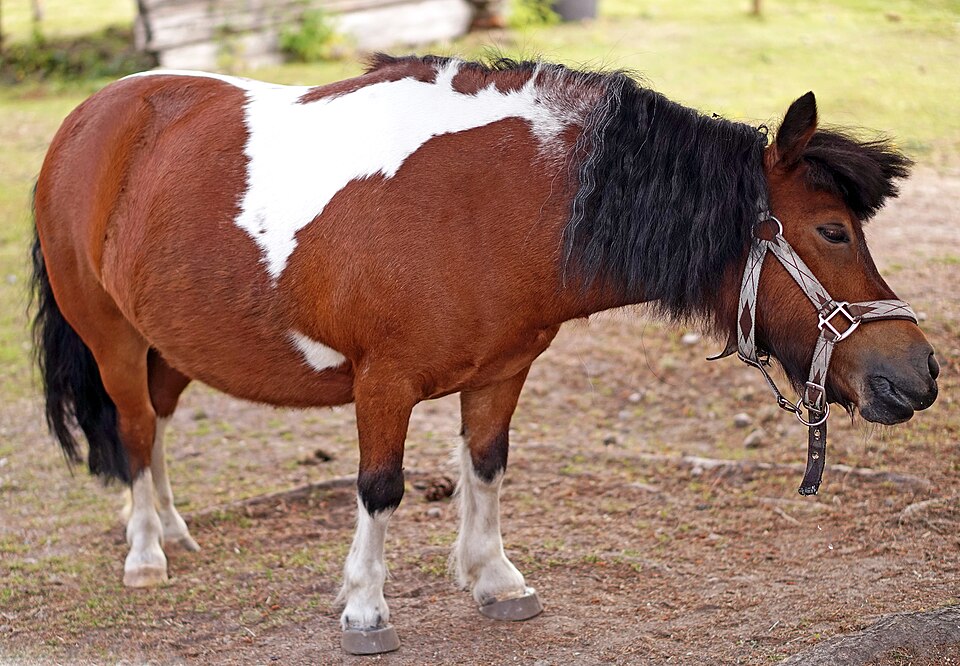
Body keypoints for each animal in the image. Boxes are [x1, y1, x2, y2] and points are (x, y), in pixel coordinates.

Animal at [30, 54, 939, 654]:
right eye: (833, 230)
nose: (919, 373)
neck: (492, 204)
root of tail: (90, 119)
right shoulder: (383, 383)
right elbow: (380, 488)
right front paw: (366, 610)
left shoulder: (504, 371)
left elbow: (488, 467)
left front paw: (494, 578)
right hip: (114, 339)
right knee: (135, 429)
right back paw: (146, 553)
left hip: (169, 346)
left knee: (154, 427)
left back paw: (173, 529)